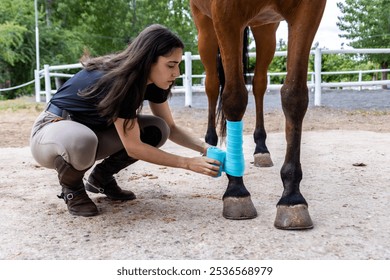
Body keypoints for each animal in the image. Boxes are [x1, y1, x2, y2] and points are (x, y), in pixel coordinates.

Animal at [190, 0, 328, 229]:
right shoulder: (225, 14)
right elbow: (234, 98)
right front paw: (236, 190)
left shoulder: (308, 11)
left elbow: (294, 96)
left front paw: (291, 197)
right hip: (206, 27)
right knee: (212, 84)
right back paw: (210, 143)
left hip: (266, 28)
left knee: (259, 83)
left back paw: (261, 148)